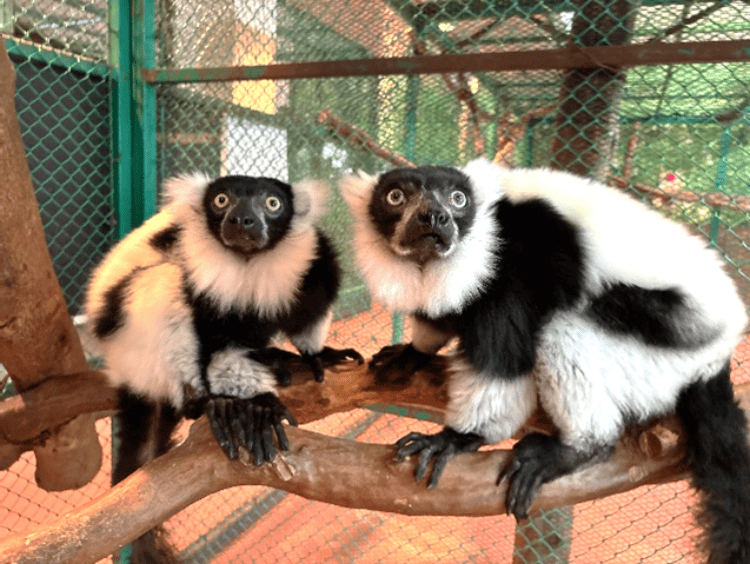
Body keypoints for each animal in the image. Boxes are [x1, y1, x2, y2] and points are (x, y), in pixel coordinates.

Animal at [85, 173, 362, 563]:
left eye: (272, 203)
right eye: (221, 200)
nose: (243, 220)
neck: (248, 263)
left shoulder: (303, 254)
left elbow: (316, 287)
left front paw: (315, 355)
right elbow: (219, 340)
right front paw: (252, 407)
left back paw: (272, 359)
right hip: (124, 337)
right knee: (164, 281)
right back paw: (204, 400)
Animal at [341, 159, 750, 564]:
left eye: (457, 199)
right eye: (395, 197)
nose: (434, 218)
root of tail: (714, 357)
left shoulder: (510, 261)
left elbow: (502, 360)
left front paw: (457, 438)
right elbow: (440, 316)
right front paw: (413, 352)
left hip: (664, 347)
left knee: (561, 327)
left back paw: (580, 448)